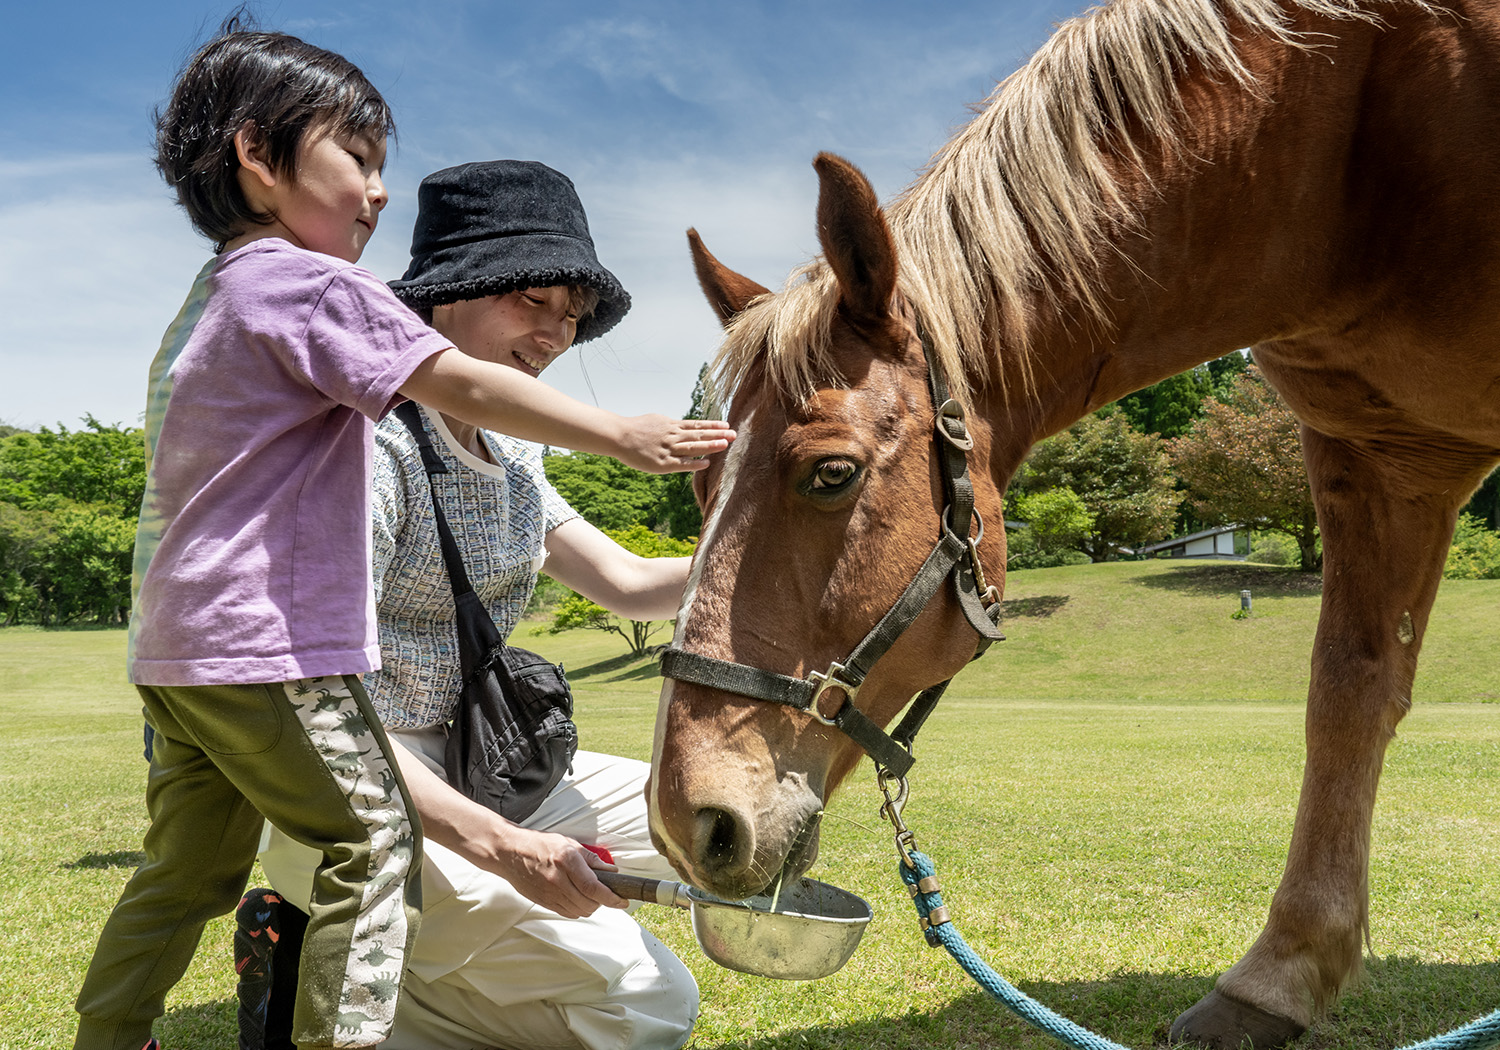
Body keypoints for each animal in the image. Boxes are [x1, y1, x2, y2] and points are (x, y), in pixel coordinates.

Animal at [645, 0, 1500, 1044]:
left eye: (831, 473)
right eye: (698, 485)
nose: (685, 819)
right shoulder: (1382, 453)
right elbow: (1348, 695)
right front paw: (1282, 976)